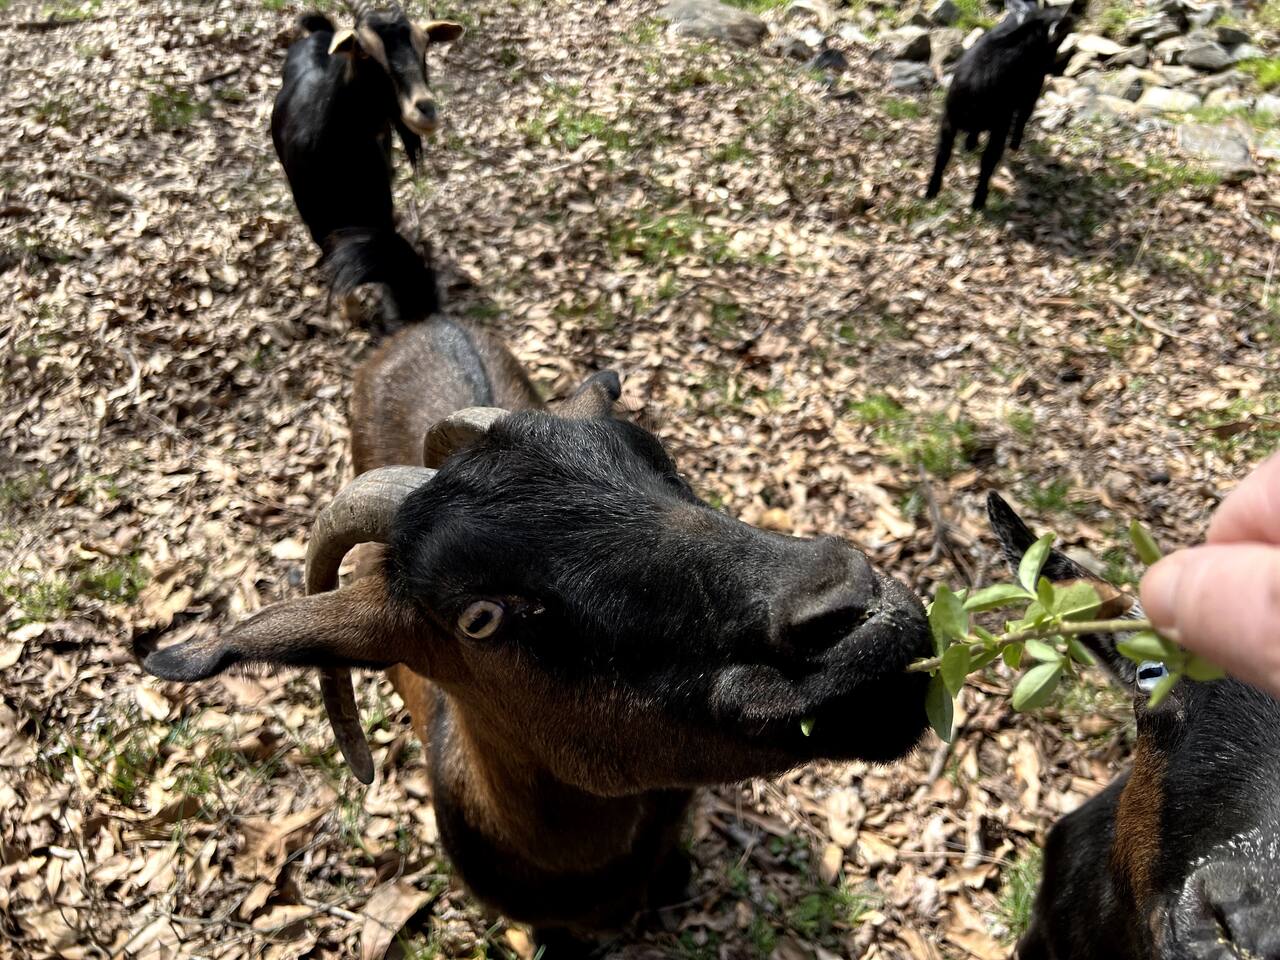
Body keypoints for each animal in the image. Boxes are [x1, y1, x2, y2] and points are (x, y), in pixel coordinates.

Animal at [925, 0, 1075, 209]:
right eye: (1062, 34)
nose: (1057, 63)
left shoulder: (978, 124)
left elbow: (966, 158)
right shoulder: (962, 120)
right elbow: (960, 157)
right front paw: (939, 192)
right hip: (1030, 91)